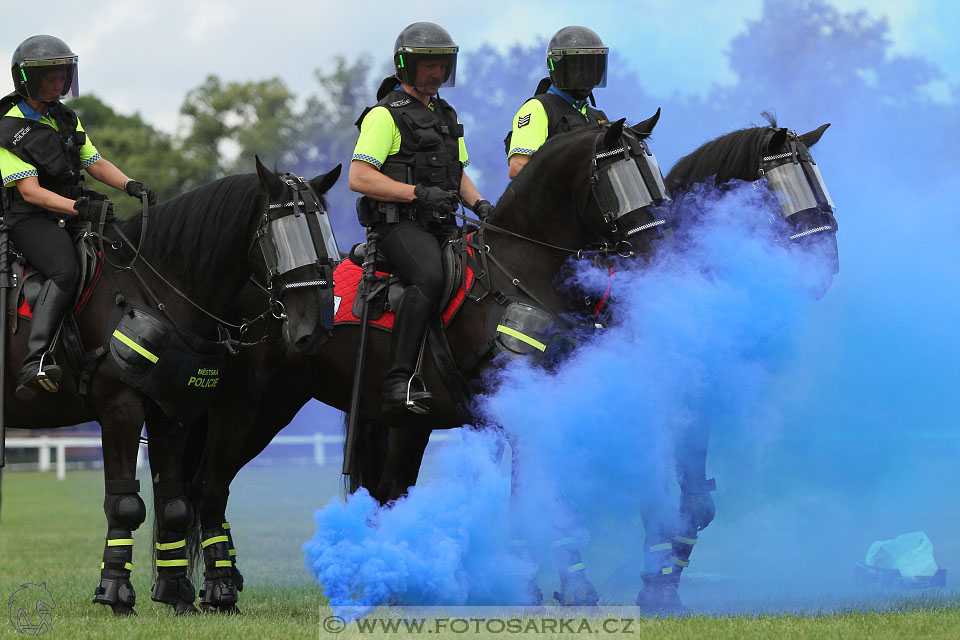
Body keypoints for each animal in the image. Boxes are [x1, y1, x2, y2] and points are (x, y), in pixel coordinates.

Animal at [1, 159, 342, 616]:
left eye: (324, 233)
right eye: (278, 235)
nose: (314, 329)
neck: (156, 288)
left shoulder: (171, 415)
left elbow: (175, 505)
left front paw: (177, 593)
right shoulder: (122, 410)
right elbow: (127, 503)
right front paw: (115, 594)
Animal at [167, 116, 676, 616]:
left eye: (653, 175)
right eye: (621, 180)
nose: (662, 249)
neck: (516, 272)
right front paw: (564, 587)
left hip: (301, 413)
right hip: (245, 408)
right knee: (208, 485)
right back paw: (215, 591)